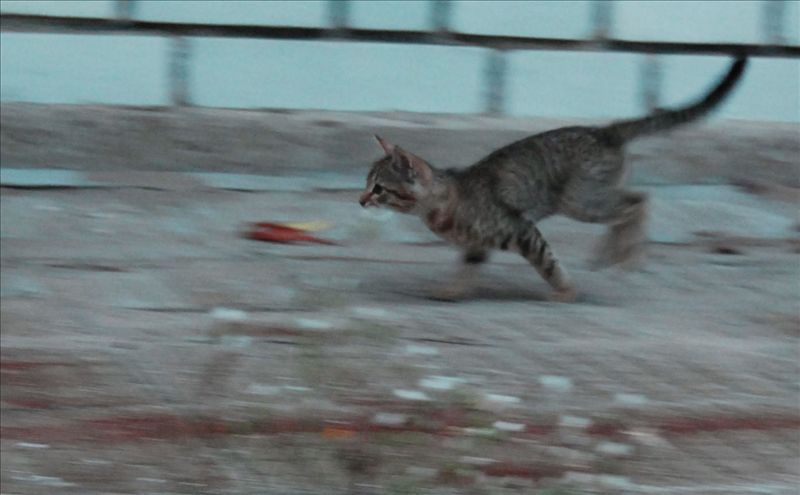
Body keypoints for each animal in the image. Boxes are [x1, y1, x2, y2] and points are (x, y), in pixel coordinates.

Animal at [359, 56, 747, 302]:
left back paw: (628, 257)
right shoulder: (479, 243)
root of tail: (604, 131)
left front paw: (565, 292)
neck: (445, 202)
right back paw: (607, 256)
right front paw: (453, 290)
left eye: (379, 188)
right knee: (630, 204)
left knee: (638, 201)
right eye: (366, 184)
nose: (361, 201)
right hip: (590, 198)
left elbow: (549, 264)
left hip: (581, 200)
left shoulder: (521, 229)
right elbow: (468, 265)